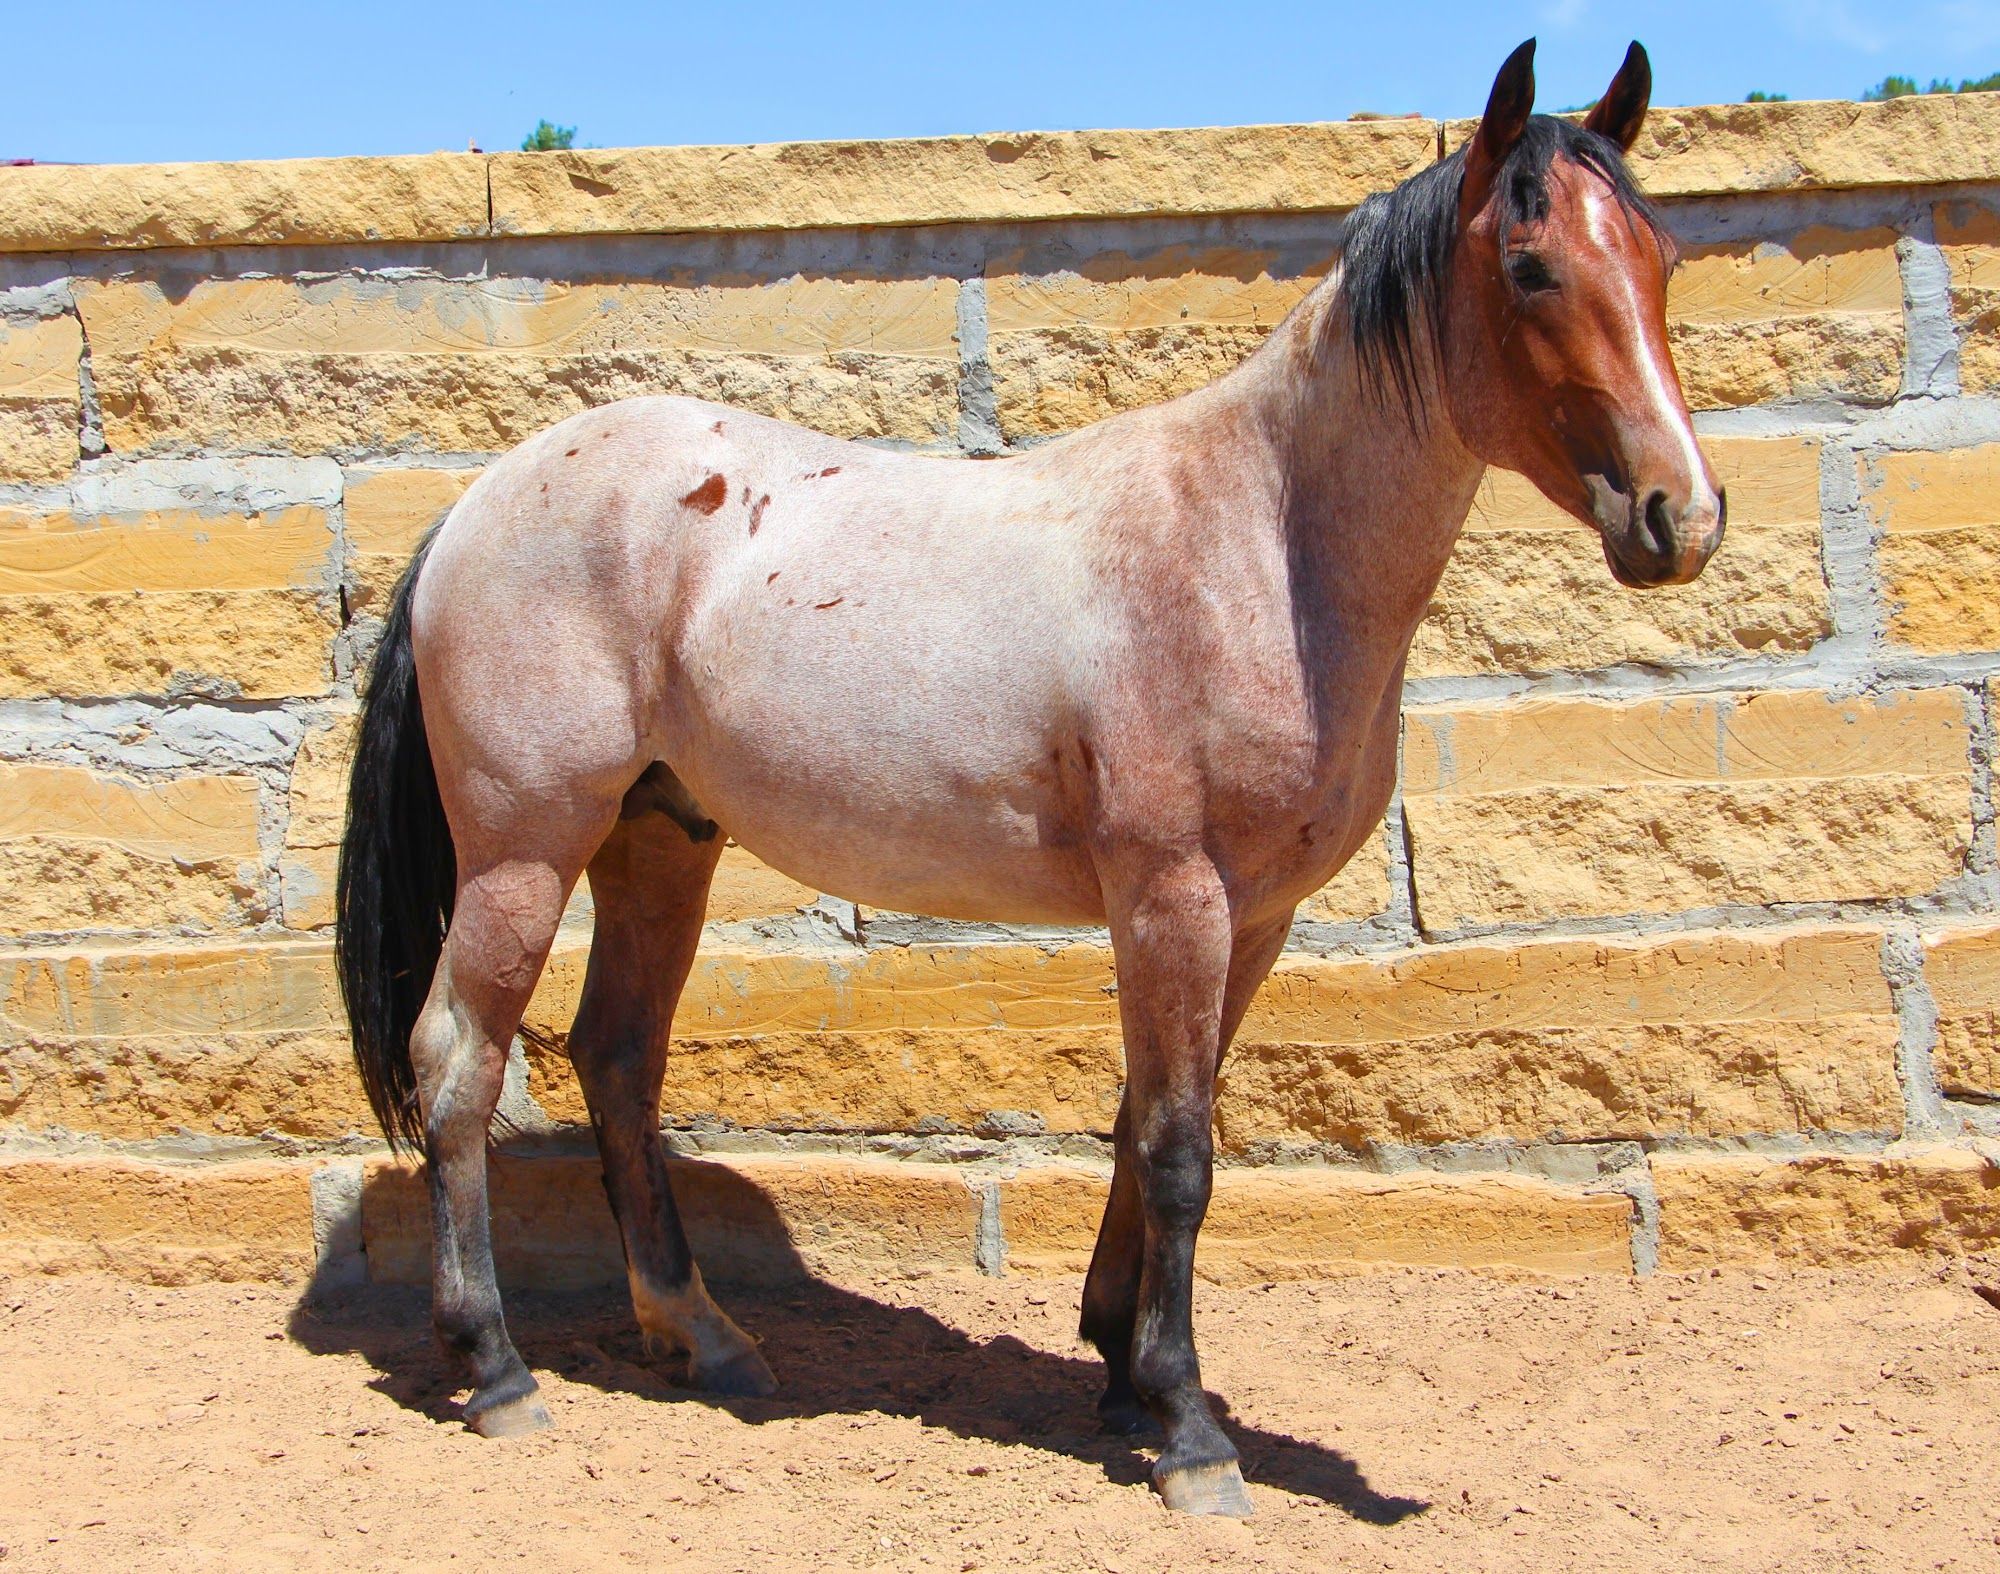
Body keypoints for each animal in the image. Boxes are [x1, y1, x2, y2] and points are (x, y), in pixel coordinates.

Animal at [334, 37, 1723, 1517]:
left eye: (1657, 253)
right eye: (1529, 267)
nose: (1680, 516)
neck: (1254, 543)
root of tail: (476, 505)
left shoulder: (1251, 917)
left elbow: (1148, 1123)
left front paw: (1121, 1366)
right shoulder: (1171, 896)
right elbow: (1176, 1150)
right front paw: (1189, 1430)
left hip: (659, 839)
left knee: (616, 1056)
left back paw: (700, 1334)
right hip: (526, 851)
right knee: (459, 1059)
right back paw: (496, 1368)